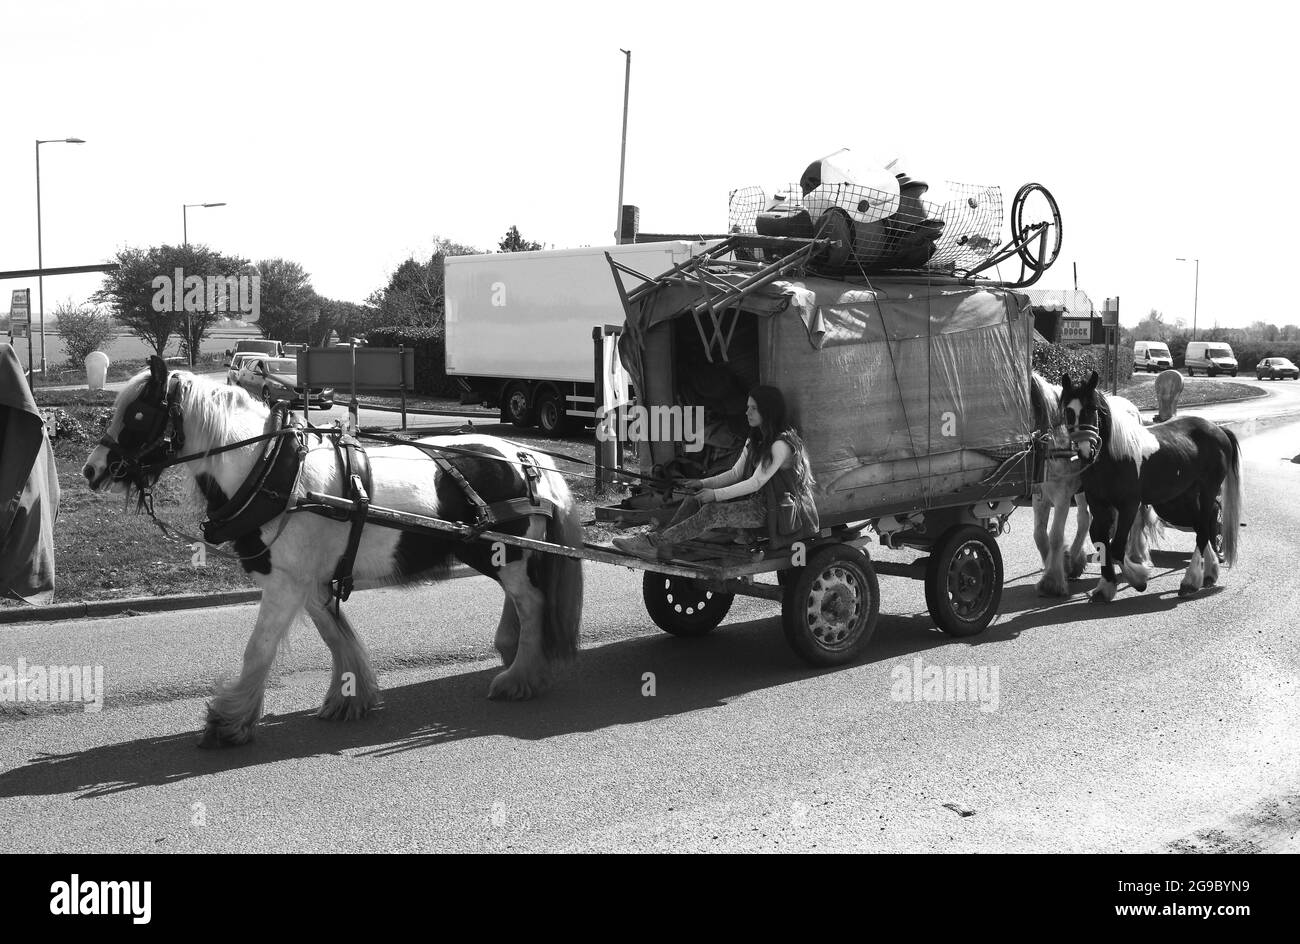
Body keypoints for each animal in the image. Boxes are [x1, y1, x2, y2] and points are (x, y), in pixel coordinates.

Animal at [82, 356, 585, 748]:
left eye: (138, 415)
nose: (92, 470)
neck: (272, 470)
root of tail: (528, 457)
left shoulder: (286, 583)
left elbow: (259, 649)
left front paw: (228, 720)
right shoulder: (311, 581)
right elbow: (336, 636)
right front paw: (350, 696)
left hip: (507, 555)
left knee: (532, 603)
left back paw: (520, 676)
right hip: (504, 555)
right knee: (519, 601)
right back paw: (511, 650)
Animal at [1060, 371, 1242, 603]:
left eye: (1092, 410)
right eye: (1068, 411)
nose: (1085, 451)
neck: (1115, 457)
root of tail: (1218, 429)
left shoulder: (1129, 505)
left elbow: (1117, 547)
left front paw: (1138, 579)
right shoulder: (1099, 504)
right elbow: (1100, 541)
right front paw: (1105, 586)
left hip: (1207, 491)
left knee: (1203, 531)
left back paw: (1189, 582)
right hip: (1187, 497)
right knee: (1203, 527)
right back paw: (1208, 574)